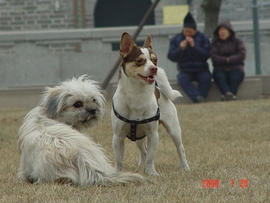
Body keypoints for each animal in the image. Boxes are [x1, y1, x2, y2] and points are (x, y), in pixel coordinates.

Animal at [110, 32, 190, 175]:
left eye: (155, 60)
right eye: (139, 61)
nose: (154, 68)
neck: (137, 94)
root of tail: (159, 89)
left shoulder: (153, 135)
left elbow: (151, 157)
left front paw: (151, 172)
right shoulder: (118, 137)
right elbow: (119, 160)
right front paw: (117, 173)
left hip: (174, 129)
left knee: (180, 148)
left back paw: (185, 167)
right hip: (139, 137)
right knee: (144, 151)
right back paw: (139, 168)